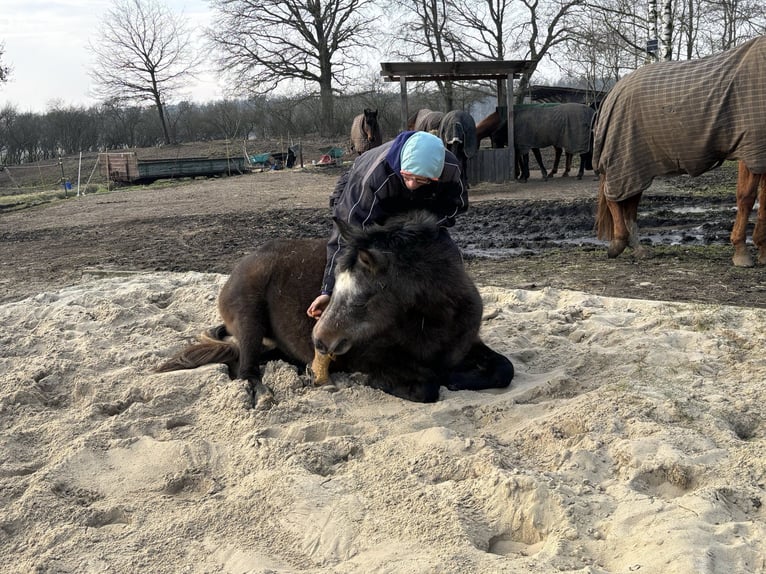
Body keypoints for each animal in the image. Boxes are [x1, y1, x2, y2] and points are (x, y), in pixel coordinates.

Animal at [156, 213, 516, 410]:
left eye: (363, 298)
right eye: (334, 289)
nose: (319, 341)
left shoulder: (468, 345)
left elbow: (504, 369)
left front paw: (457, 377)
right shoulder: (371, 357)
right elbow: (426, 386)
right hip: (249, 318)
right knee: (246, 369)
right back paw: (265, 395)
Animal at [596, 37, 766, 266]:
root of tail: (616, 90)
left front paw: (763, 252)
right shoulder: (751, 151)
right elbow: (746, 198)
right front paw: (741, 252)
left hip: (638, 164)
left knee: (630, 203)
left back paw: (638, 249)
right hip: (623, 158)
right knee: (614, 198)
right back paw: (618, 244)